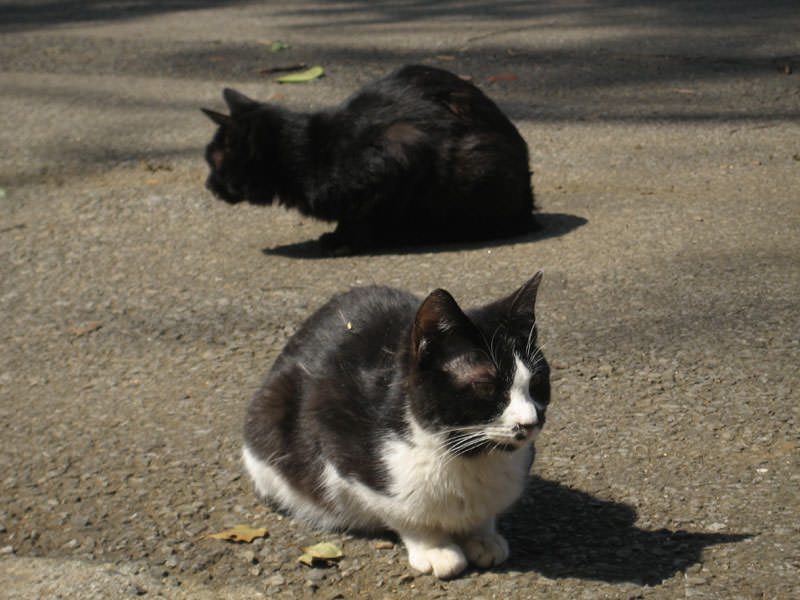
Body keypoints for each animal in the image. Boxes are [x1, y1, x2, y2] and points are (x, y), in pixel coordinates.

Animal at [202, 64, 536, 254]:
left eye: (212, 162)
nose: (207, 185)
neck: (306, 152)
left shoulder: (399, 149)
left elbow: (365, 213)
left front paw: (347, 240)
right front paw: (340, 234)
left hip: (478, 164)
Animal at [241, 272, 552, 576]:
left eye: (537, 381)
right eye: (485, 386)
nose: (529, 421)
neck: (466, 451)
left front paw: (482, 536)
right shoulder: (333, 432)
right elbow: (405, 513)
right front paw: (435, 548)